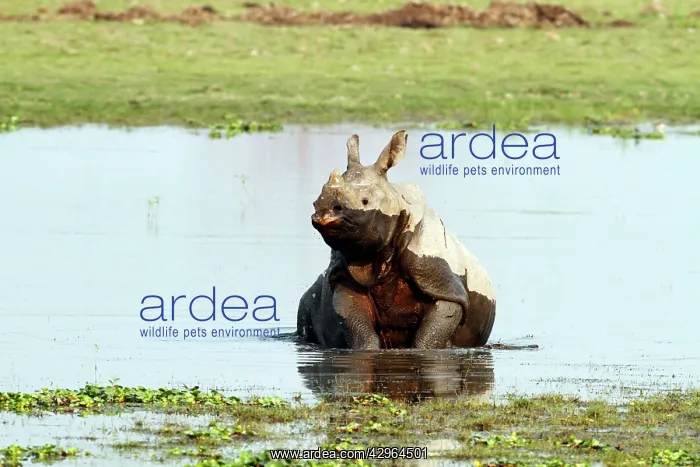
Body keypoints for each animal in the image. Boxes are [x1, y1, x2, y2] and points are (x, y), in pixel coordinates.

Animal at [296, 130, 496, 350]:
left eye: (365, 201)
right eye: (315, 202)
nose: (324, 212)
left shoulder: (441, 283)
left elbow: (429, 335)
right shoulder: (345, 278)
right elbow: (361, 333)